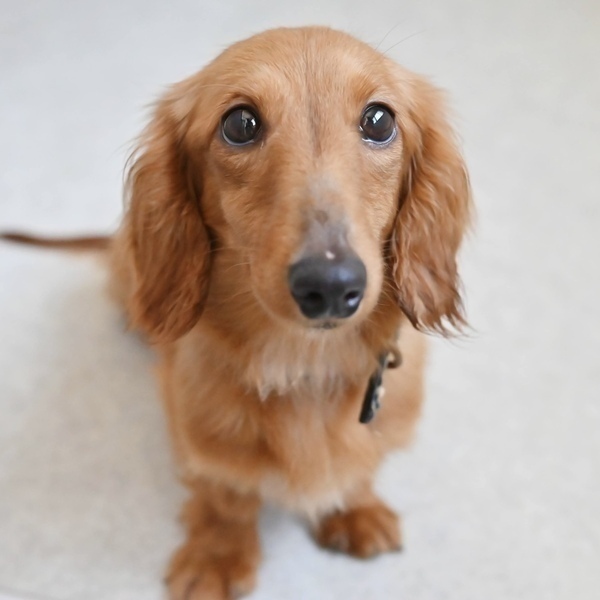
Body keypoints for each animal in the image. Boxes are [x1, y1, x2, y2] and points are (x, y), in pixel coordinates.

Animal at [2, 26, 471, 600]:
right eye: (240, 124)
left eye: (380, 121)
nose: (330, 285)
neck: (305, 365)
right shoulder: (198, 431)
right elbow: (226, 495)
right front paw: (218, 555)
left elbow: (358, 469)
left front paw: (353, 509)